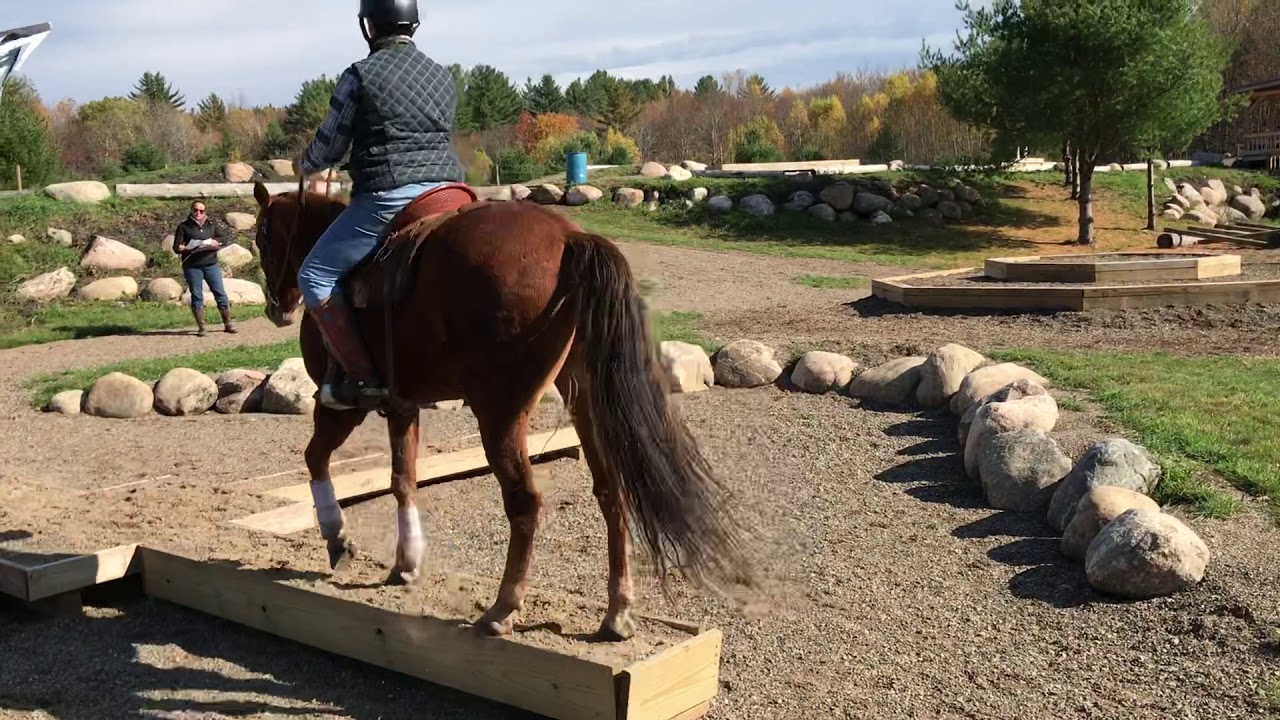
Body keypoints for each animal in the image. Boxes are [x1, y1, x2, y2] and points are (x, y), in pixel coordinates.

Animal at [248, 180, 752, 640]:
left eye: (262, 237)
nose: (276, 307)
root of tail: (569, 238)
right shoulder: (402, 404)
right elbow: (402, 479)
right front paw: (406, 562)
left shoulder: (339, 405)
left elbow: (316, 459)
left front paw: (338, 540)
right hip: (585, 402)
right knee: (611, 491)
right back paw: (617, 612)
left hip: (500, 412)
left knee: (524, 501)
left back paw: (503, 607)